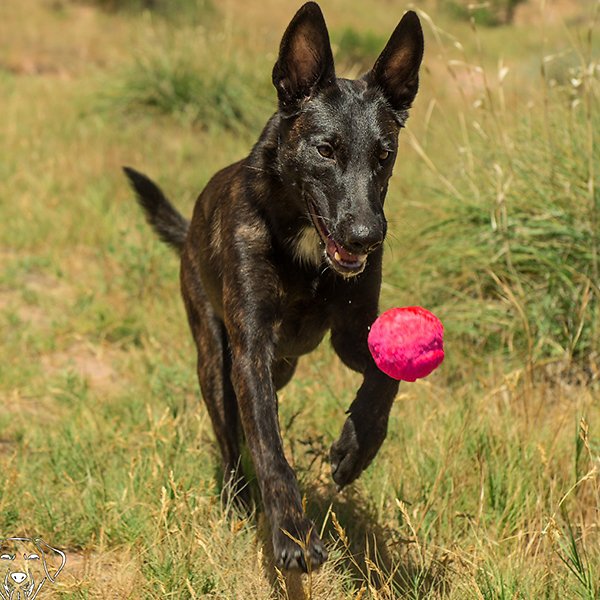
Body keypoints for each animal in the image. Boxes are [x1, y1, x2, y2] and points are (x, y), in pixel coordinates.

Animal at [123, 0, 422, 572]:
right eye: (326, 150)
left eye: (384, 154)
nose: (367, 236)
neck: (304, 248)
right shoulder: (251, 352)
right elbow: (268, 445)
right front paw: (291, 532)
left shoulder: (352, 335)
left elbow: (385, 375)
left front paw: (356, 449)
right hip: (215, 359)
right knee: (231, 434)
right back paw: (237, 498)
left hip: (282, 365)